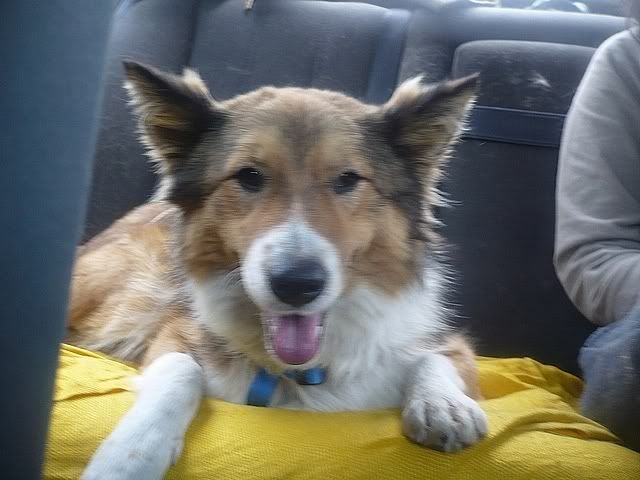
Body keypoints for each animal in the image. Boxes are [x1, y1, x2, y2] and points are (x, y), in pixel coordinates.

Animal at [68, 61, 487, 479]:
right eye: (249, 176)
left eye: (348, 179)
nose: (296, 285)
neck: (296, 371)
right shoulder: (175, 331)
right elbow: (180, 368)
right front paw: (130, 454)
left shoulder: (437, 338)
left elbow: (439, 356)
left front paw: (445, 406)